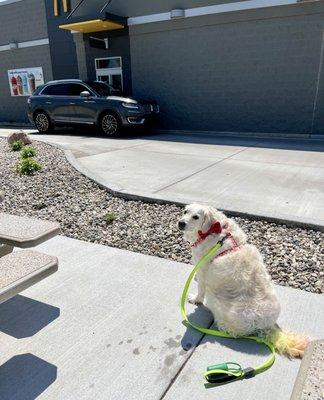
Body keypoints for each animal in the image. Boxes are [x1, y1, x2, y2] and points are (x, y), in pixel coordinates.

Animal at [180, 205, 308, 358]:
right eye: (185, 212)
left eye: (196, 217)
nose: (181, 223)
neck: (215, 230)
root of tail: (267, 325)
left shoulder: (202, 269)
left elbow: (200, 290)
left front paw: (195, 299)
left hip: (215, 300)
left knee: (232, 331)